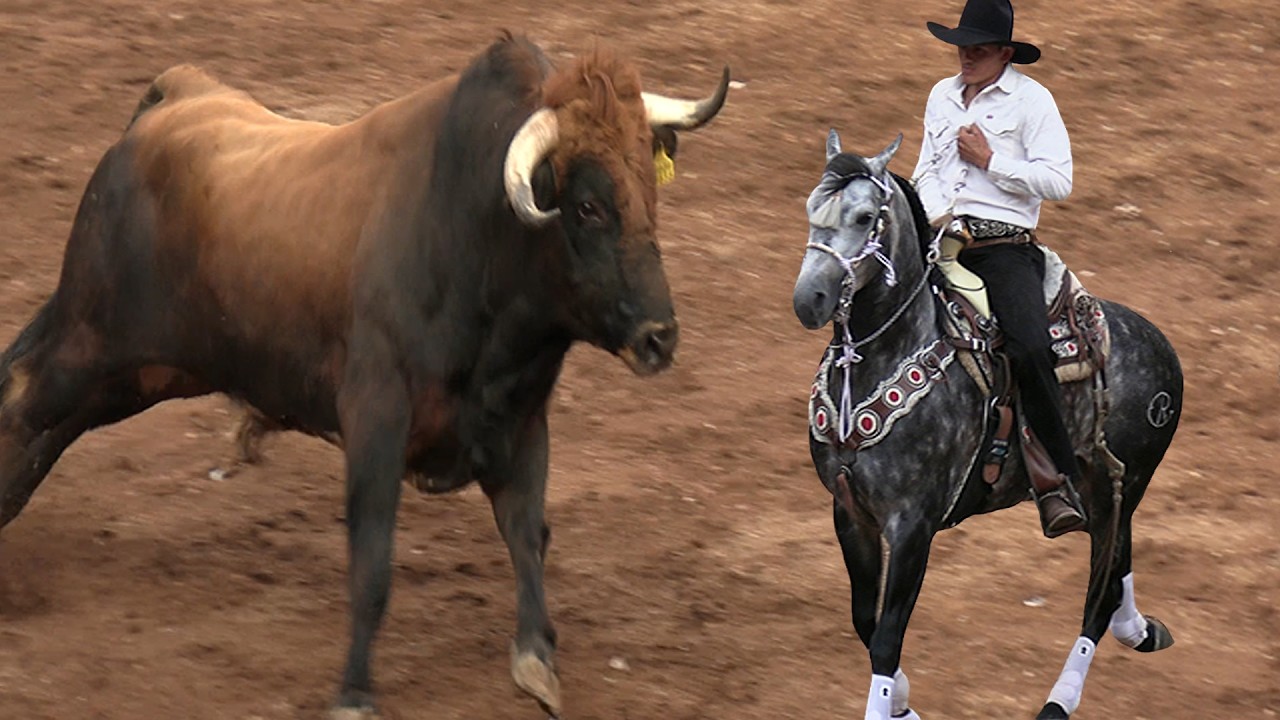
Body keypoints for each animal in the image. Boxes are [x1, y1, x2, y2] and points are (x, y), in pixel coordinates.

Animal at [790, 130, 1181, 720]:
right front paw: (903, 702)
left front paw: (892, 703)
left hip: (1122, 480)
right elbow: (865, 621)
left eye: (864, 217)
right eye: (812, 208)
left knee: (1101, 590)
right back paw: (1137, 629)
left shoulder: (912, 525)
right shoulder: (849, 512)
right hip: (1111, 491)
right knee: (1118, 562)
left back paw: (1060, 699)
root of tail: (1162, 345)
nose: (808, 300)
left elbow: (886, 638)